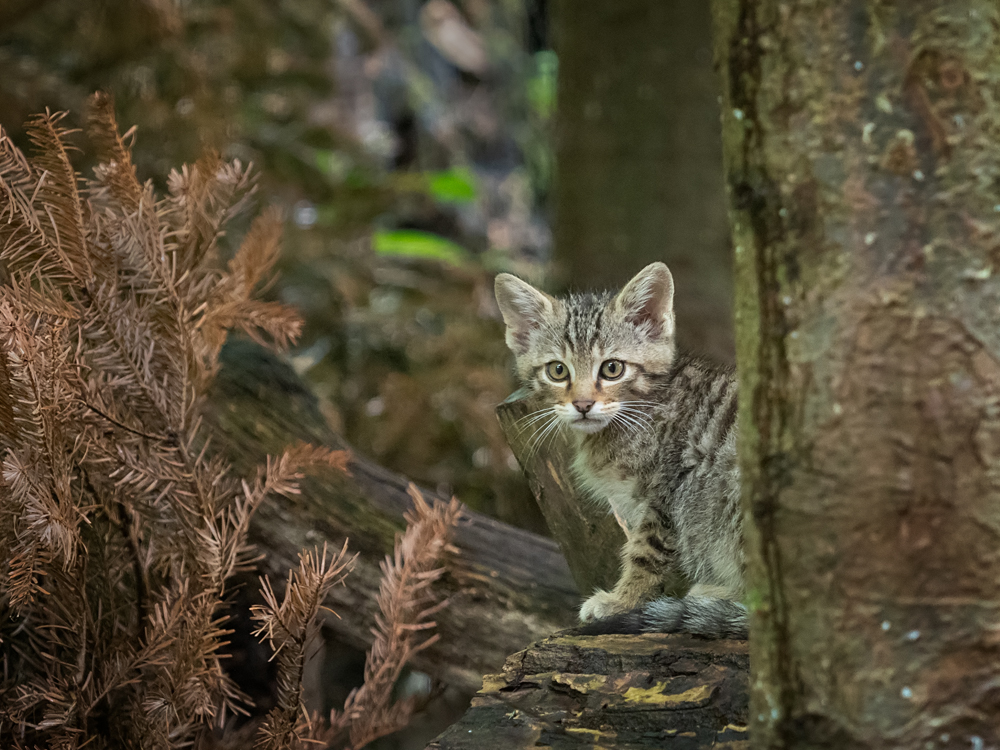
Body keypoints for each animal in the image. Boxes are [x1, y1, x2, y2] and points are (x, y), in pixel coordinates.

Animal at [496, 262, 748, 640]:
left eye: (612, 368)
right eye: (557, 371)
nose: (583, 404)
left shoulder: (667, 491)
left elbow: (645, 554)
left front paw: (622, 601)